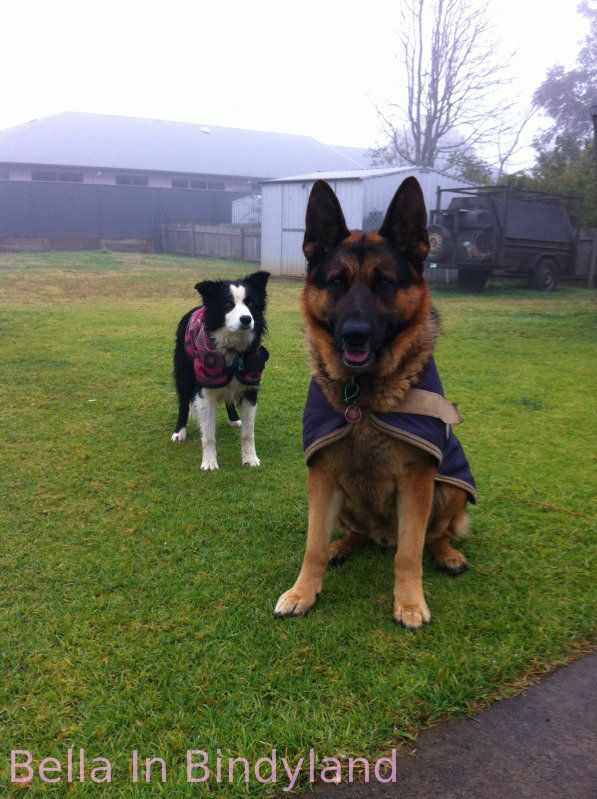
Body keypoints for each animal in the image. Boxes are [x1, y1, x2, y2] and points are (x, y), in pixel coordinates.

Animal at [171, 271, 270, 470]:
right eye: (228, 304)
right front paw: (209, 463)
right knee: (183, 403)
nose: (246, 319)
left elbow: (248, 433)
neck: (233, 350)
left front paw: (250, 458)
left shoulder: (250, 388)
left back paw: (234, 419)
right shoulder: (205, 389)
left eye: (250, 303)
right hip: (184, 373)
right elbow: (209, 434)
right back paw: (179, 432)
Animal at [274, 178, 476, 629]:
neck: (362, 399)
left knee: (433, 535)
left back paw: (447, 554)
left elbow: (409, 553)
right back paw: (344, 546)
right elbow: (313, 544)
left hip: (449, 489)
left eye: (384, 283)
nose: (355, 334)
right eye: (336, 282)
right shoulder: (322, 475)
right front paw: (303, 592)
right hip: (345, 499)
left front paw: (410, 603)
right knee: (357, 532)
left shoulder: (417, 480)